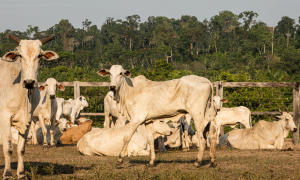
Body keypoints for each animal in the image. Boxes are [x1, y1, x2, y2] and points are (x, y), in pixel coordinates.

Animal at [0, 34, 59, 179]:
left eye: (39, 56)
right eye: (20, 55)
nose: (29, 82)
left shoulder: (27, 119)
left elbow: (21, 149)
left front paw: (21, 173)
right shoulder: (5, 118)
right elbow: (8, 148)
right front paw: (7, 174)